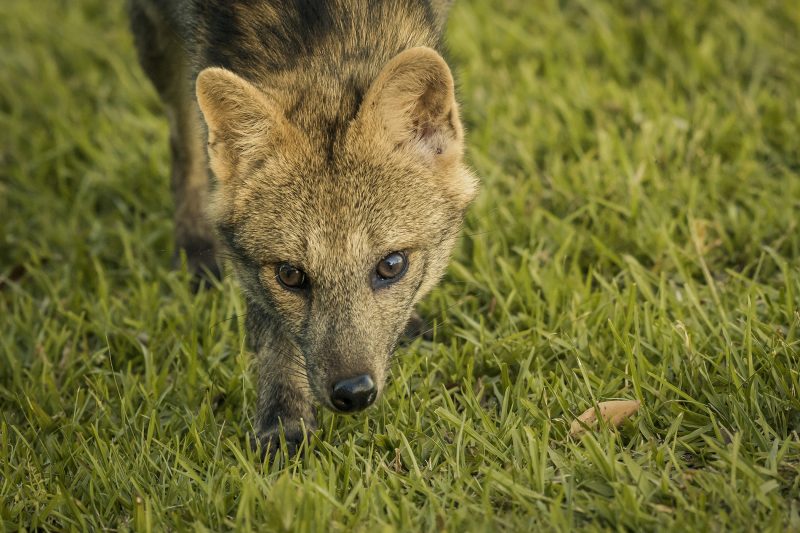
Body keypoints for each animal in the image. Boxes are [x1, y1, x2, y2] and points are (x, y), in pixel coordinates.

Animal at [129, 1, 478, 458]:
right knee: (182, 141)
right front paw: (284, 421)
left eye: (392, 265)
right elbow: (272, 333)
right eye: (291, 276)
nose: (353, 393)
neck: (322, 37)